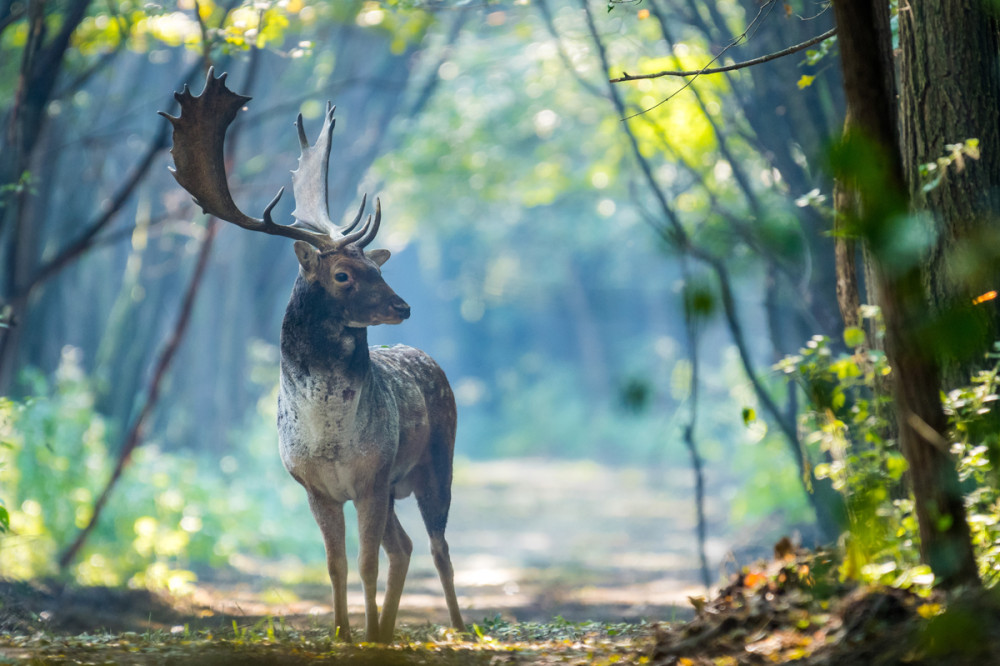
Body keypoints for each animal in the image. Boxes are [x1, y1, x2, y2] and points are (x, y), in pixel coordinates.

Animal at [159, 70, 464, 640]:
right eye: (343, 274)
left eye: (377, 266)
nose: (403, 305)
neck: (330, 439)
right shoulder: (314, 487)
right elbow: (337, 564)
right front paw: (344, 633)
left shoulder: (372, 476)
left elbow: (365, 562)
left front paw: (364, 635)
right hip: (398, 485)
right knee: (406, 546)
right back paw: (388, 627)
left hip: (437, 462)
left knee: (438, 547)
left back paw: (455, 627)